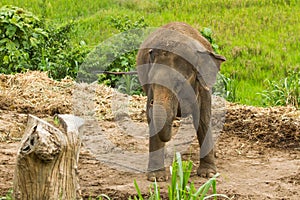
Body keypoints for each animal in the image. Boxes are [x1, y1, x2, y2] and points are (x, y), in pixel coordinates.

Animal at [137, 21, 226, 181]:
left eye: (179, 82)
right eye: (151, 80)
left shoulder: (202, 85)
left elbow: (203, 117)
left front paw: (208, 174)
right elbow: (152, 118)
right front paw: (156, 178)